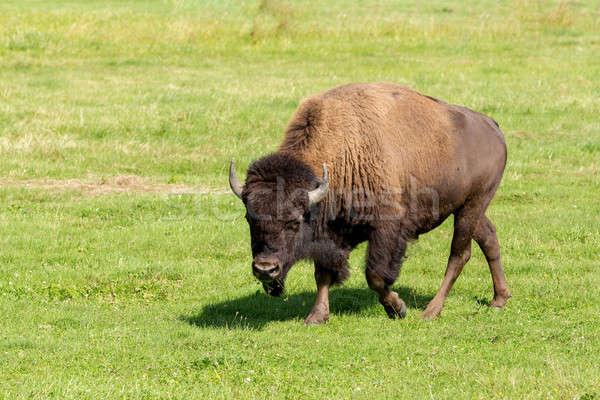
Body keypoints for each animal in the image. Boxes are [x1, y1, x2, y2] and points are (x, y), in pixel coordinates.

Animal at [230, 83, 510, 324]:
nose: (265, 269)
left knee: (459, 254)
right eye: (249, 218)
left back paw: (431, 311)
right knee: (488, 236)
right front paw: (316, 317)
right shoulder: (329, 234)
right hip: (466, 207)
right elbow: (323, 274)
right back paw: (499, 299)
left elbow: (374, 275)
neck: (343, 152)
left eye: (294, 222)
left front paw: (397, 308)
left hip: (472, 206)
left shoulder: (387, 229)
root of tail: (492, 126)